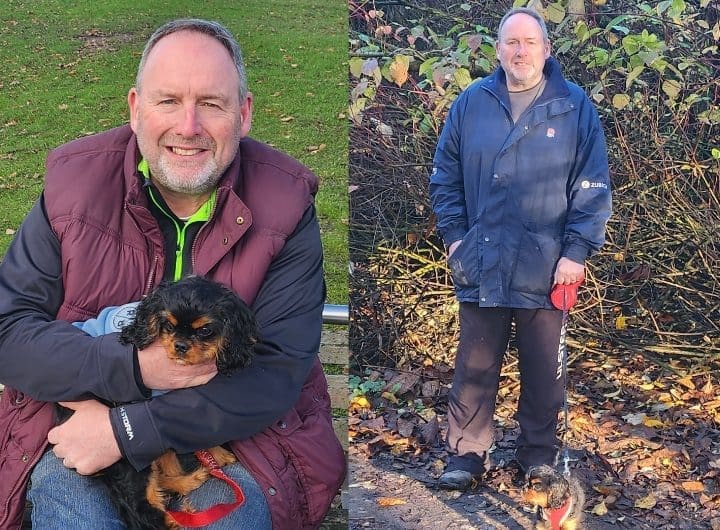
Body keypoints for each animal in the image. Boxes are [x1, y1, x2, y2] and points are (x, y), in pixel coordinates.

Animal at [63, 276, 258, 528]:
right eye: (169, 325)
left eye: (205, 330)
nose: (181, 346)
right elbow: (169, 449)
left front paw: (218, 455)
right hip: (122, 455)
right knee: (143, 507)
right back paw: (177, 517)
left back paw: (190, 482)